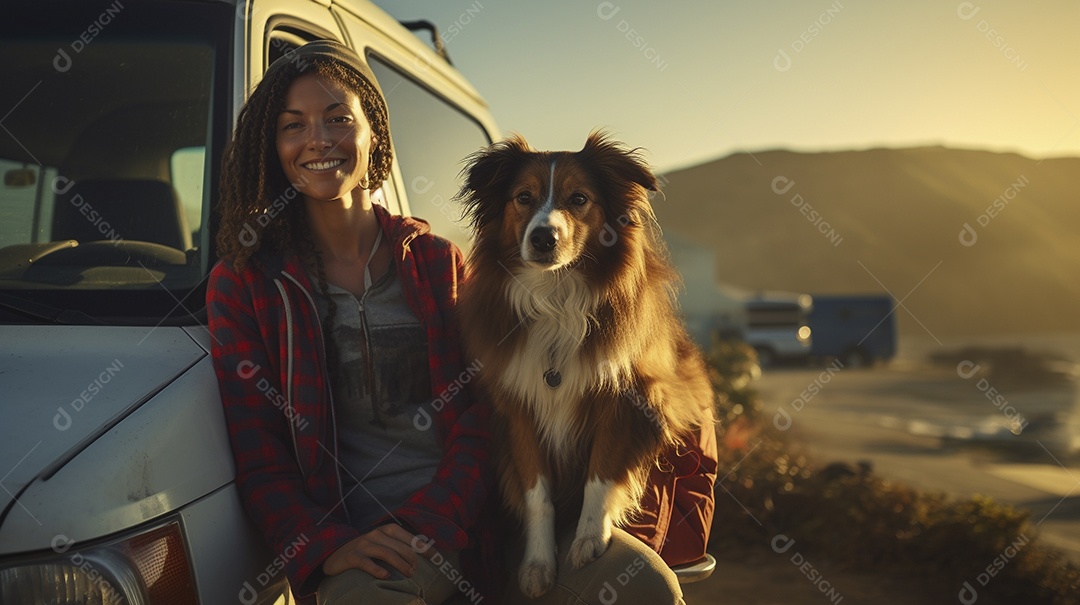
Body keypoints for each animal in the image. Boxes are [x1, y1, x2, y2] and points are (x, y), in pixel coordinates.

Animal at [457, 131, 717, 596]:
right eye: (523, 197)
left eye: (579, 198)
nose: (543, 238)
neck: (557, 298)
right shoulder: (520, 410)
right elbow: (537, 494)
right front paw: (538, 561)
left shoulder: (625, 400)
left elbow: (601, 472)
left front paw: (589, 537)